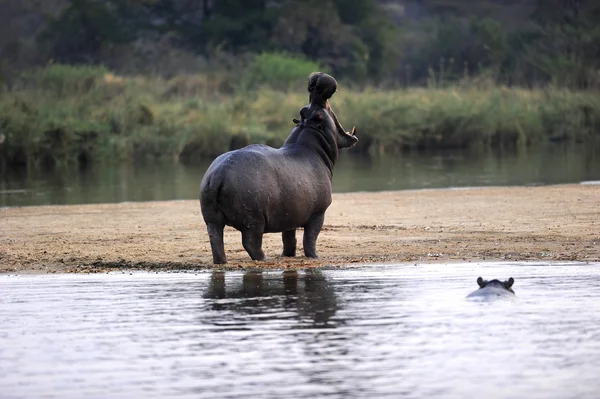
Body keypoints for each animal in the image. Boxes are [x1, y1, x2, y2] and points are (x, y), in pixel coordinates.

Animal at [199, 72, 356, 266]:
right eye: (319, 115)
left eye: (303, 110)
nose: (316, 81)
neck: (311, 145)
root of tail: (217, 175)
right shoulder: (318, 213)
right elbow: (310, 239)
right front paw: (316, 257)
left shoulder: (290, 215)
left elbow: (289, 238)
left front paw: (287, 255)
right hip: (253, 220)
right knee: (251, 242)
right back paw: (264, 259)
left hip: (212, 220)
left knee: (216, 240)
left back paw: (222, 262)